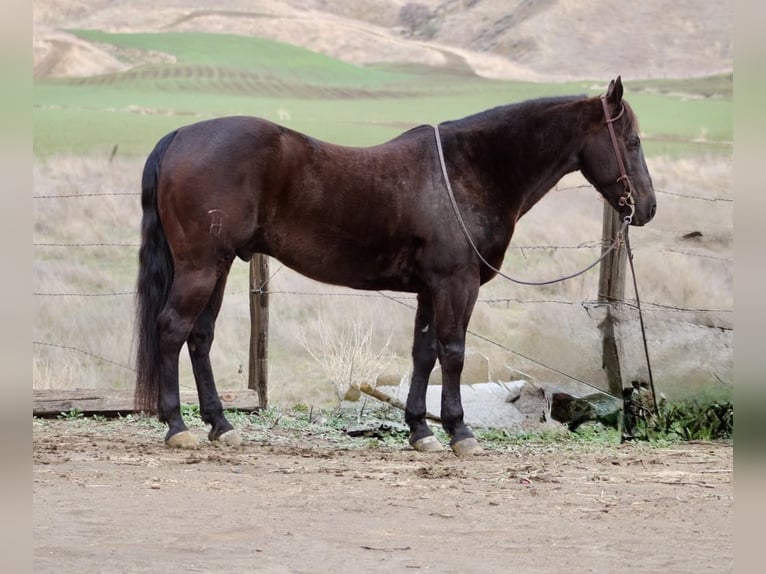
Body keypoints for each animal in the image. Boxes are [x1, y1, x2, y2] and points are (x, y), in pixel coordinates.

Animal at [135, 77, 656, 454]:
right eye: (631, 141)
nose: (648, 208)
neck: (468, 172)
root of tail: (180, 135)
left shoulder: (429, 288)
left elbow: (423, 354)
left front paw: (420, 431)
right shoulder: (456, 283)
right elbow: (453, 352)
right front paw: (460, 432)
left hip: (218, 267)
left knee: (199, 338)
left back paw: (221, 424)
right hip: (202, 267)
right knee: (172, 329)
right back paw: (177, 425)